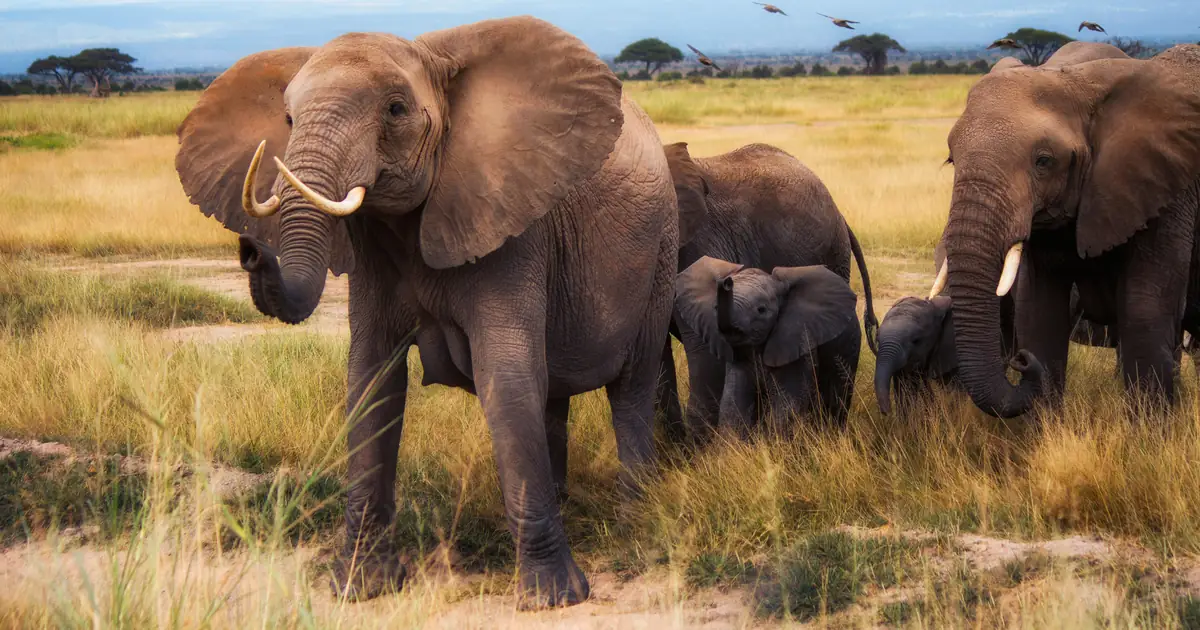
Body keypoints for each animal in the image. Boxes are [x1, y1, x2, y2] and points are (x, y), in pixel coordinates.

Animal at [174, 17, 680, 608]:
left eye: (395, 109)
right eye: (288, 119)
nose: (252, 248)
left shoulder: (511, 224)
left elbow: (505, 379)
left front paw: (553, 598)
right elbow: (371, 382)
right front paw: (359, 587)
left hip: (659, 253)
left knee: (631, 388)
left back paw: (633, 521)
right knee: (553, 394)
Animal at [674, 256, 861, 434]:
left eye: (761, 310)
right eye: (715, 307)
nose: (726, 282)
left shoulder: (796, 344)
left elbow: (786, 406)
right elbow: (732, 405)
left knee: (835, 398)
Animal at [927, 41, 1200, 417]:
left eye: (1043, 161)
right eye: (952, 160)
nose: (1020, 361)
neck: (1077, 77)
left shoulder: (1168, 188)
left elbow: (1145, 312)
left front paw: (1149, 430)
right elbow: (1040, 313)